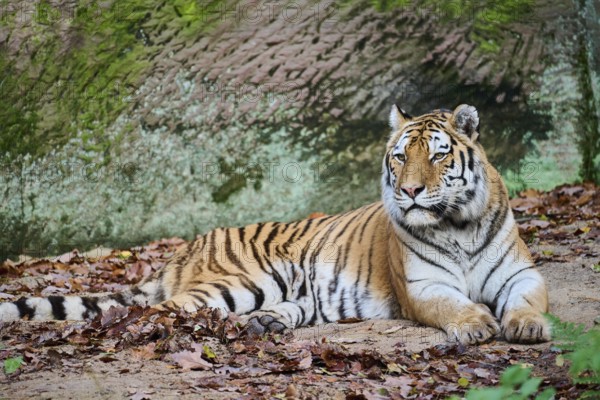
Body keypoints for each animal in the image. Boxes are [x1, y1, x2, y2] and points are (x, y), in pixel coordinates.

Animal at [0, 105, 552, 344]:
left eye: (437, 156)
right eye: (399, 156)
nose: (411, 191)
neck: (458, 224)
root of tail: (187, 246)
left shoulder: (521, 273)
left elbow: (528, 299)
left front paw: (525, 326)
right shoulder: (423, 286)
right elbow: (452, 305)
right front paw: (476, 324)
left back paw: (265, 324)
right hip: (246, 280)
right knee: (159, 311)